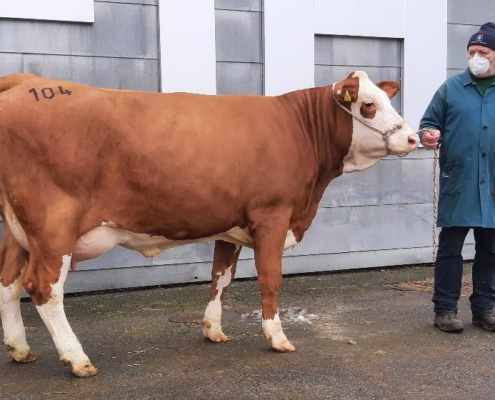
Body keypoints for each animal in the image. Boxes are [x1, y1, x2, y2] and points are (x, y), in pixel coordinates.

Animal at [0, 71, 420, 376]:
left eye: (387, 100)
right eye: (368, 104)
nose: (414, 138)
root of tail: (24, 80)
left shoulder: (231, 225)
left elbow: (221, 277)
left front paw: (213, 329)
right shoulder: (272, 215)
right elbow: (270, 279)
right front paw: (276, 337)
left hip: (20, 232)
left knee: (9, 282)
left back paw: (20, 349)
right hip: (53, 227)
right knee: (44, 288)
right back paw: (77, 359)